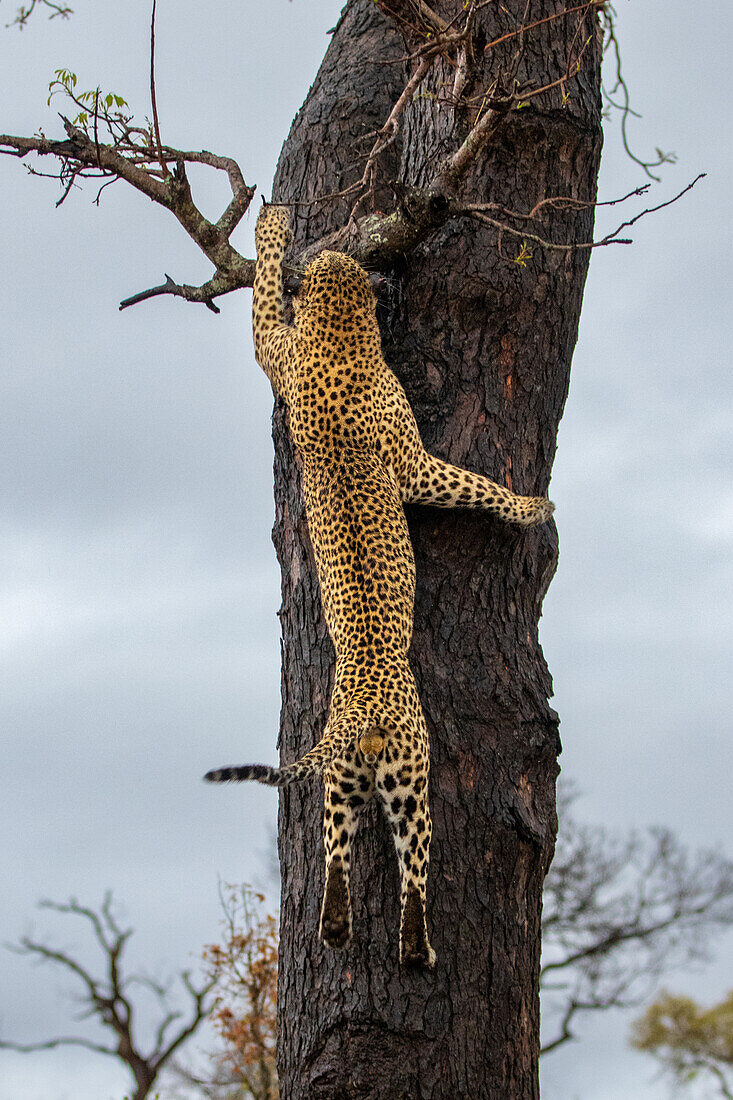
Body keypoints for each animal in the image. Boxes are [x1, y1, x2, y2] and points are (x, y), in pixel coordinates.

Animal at [202, 202, 550, 968]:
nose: (341, 254)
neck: (336, 337)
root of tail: (359, 714)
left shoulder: (276, 351)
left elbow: (262, 304)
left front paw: (272, 231)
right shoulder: (414, 461)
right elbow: (470, 484)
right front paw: (529, 506)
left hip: (341, 781)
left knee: (334, 854)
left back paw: (334, 928)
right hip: (411, 774)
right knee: (413, 863)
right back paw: (417, 950)